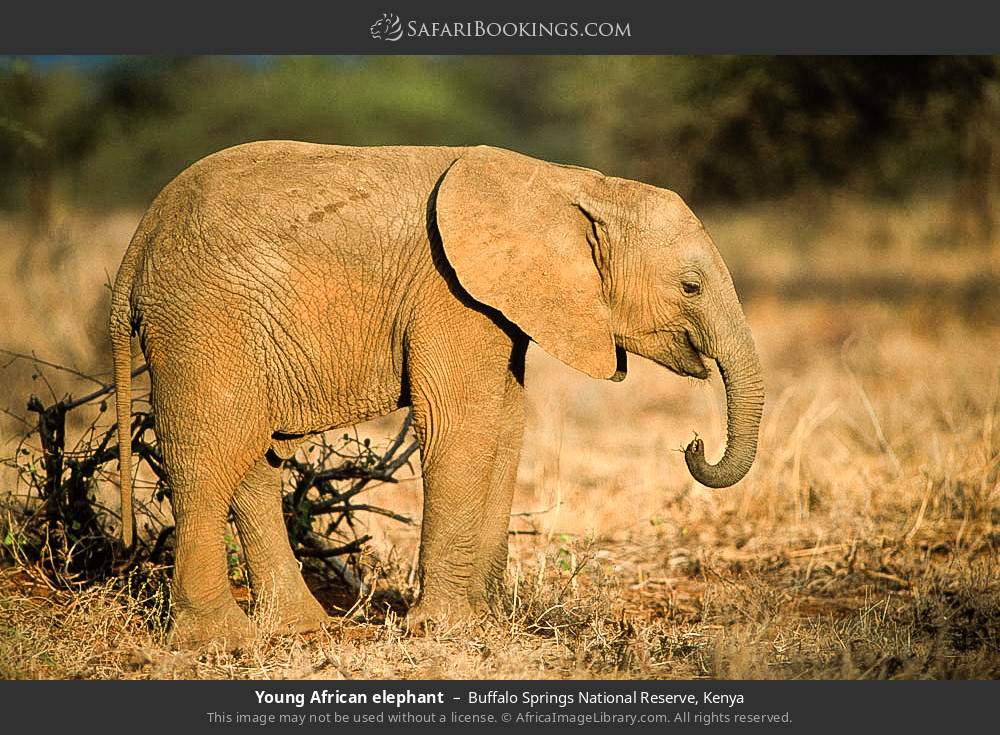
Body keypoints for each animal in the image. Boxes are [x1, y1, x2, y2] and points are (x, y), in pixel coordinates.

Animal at [110, 142, 764, 648]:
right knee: (208, 455)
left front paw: (486, 619)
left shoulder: (496, 302)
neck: (574, 186)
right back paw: (217, 642)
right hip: (202, 317)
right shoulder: (449, 292)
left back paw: (300, 630)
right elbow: (462, 423)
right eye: (691, 286)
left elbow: (505, 425)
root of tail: (138, 240)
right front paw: (443, 629)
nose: (693, 444)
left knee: (252, 461)